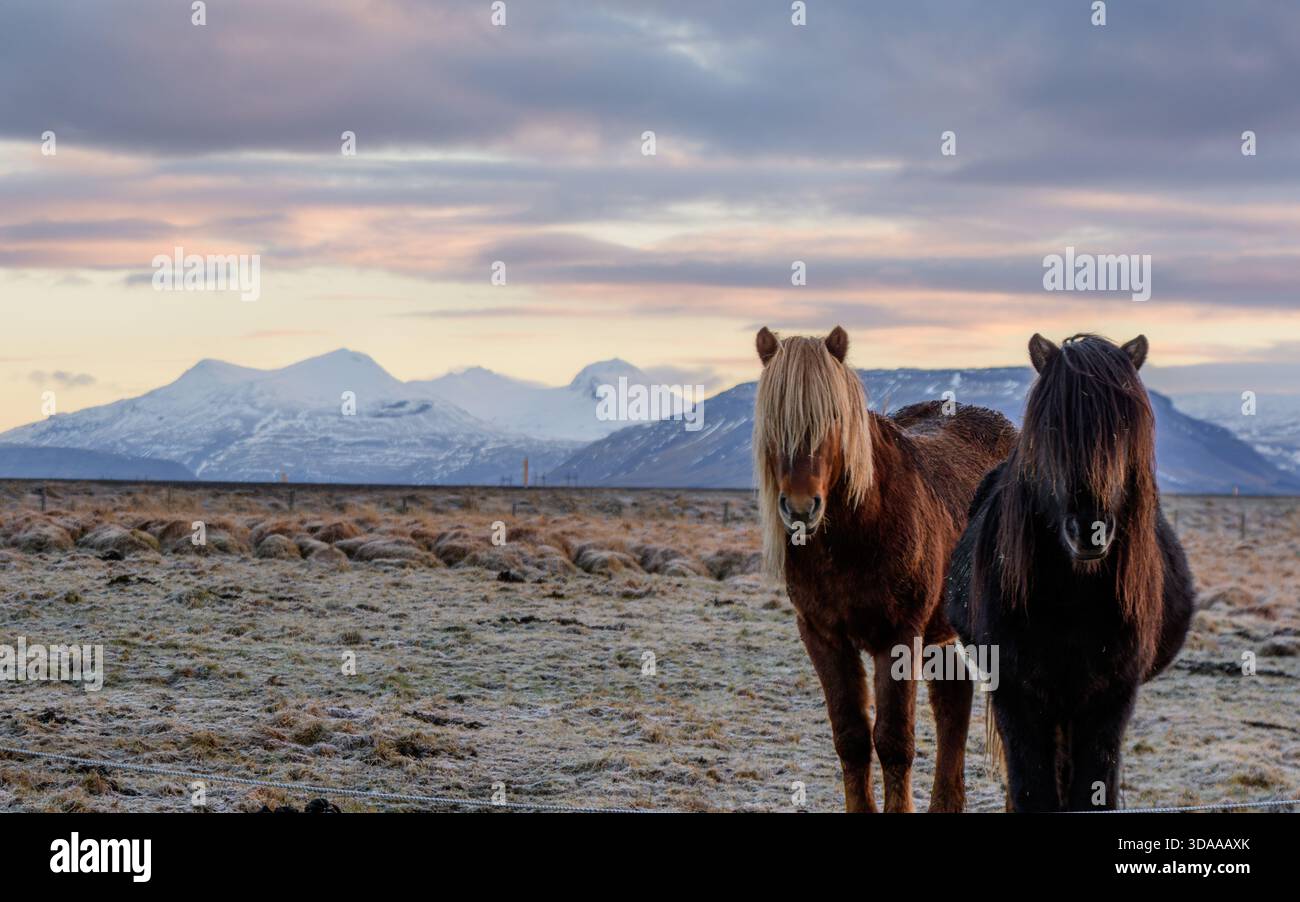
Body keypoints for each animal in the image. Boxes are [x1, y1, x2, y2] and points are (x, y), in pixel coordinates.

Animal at [754, 325, 1016, 812]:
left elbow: (894, 742)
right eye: (772, 423)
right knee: (953, 701)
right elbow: (851, 738)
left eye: (834, 418)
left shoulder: (898, 635)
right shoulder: (822, 636)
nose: (800, 508)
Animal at [944, 333, 1194, 811]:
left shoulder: (1111, 699)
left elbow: (1092, 790)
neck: (1073, 599)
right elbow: (1032, 790)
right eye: (1052, 427)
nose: (1090, 529)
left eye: (1125, 428)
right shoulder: (1015, 694)